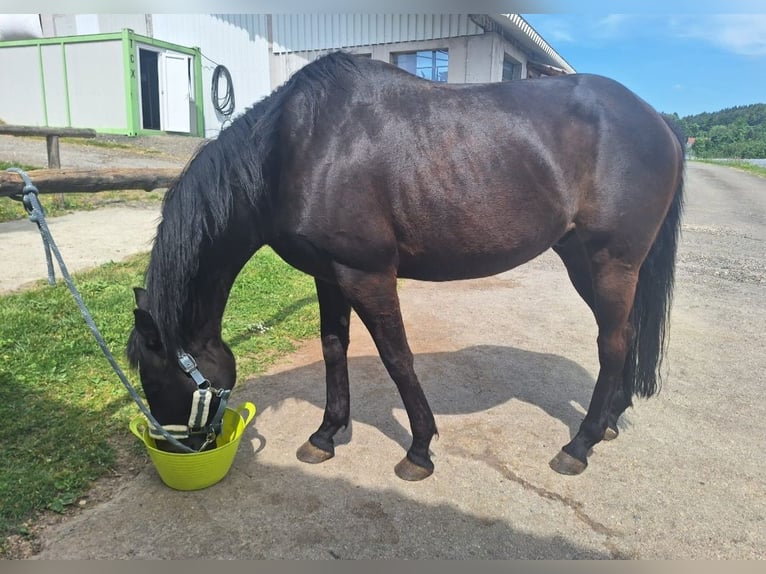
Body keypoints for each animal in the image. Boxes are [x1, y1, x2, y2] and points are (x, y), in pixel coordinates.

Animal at [127, 51, 684, 480]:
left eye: (155, 382)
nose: (179, 450)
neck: (294, 149)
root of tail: (659, 120)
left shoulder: (367, 275)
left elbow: (398, 358)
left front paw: (419, 450)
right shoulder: (328, 275)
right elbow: (334, 349)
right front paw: (325, 435)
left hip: (609, 263)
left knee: (612, 344)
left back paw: (579, 445)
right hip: (587, 262)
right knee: (626, 335)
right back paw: (609, 420)